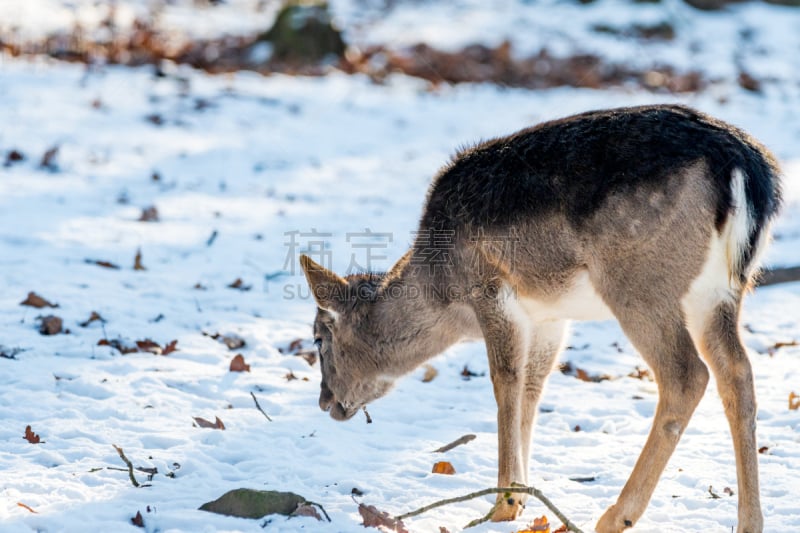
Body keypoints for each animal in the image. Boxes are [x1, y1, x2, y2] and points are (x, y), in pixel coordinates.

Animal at [296, 102, 780, 528]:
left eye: (319, 338)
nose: (324, 401)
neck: (442, 291)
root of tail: (745, 169)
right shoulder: (549, 315)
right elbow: (533, 386)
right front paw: (523, 497)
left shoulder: (490, 289)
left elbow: (505, 382)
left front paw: (502, 505)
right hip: (722, 290)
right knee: (738, 371)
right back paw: (749, 522)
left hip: (640, 284)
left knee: (686, 375)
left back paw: (615, 516)